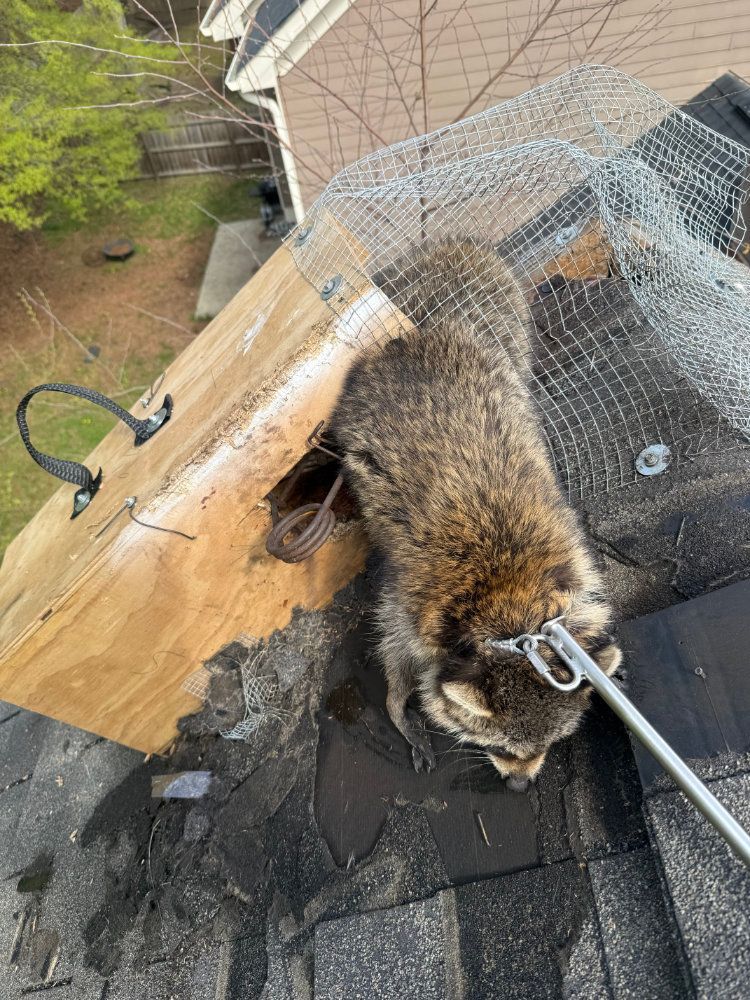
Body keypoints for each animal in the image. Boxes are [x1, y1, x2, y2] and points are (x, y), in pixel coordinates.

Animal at [329, 240, 621, 790]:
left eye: (550, 744)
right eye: (501, 747)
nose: (520, 785)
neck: (509, 606)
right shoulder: (412, 604)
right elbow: (395, 642)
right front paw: (399, 704)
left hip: (506, 345)